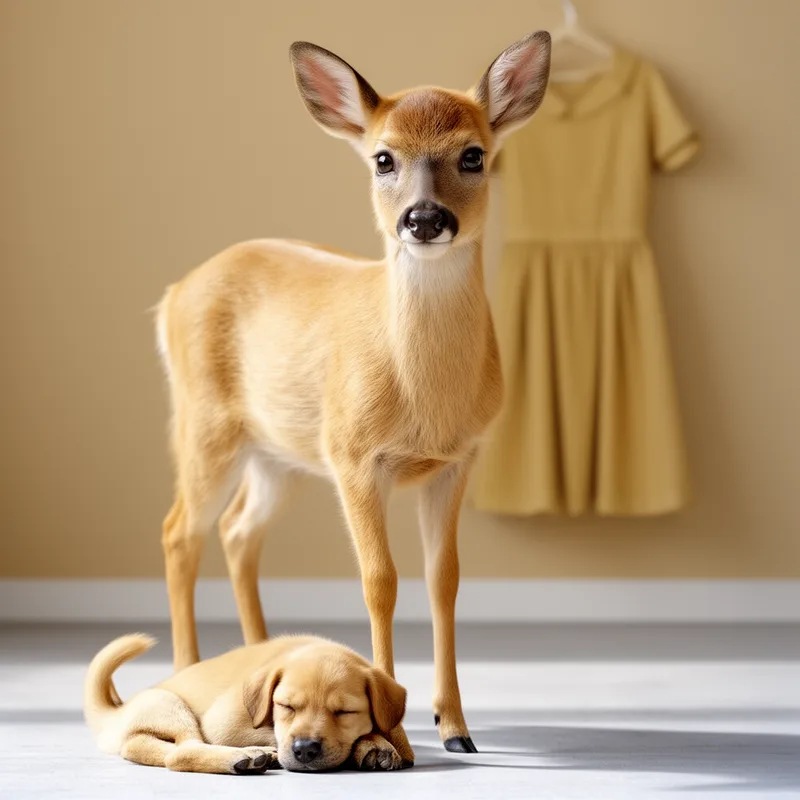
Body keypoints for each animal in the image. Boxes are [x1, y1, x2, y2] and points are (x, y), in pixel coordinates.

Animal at [156, 31, 551, 764]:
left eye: (474, 154)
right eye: (383, 157)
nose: (424, 219)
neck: (424, 396)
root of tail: (173, 295)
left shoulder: (458, 459)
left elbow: (444, 579)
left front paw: (455, 727)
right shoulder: (354, 455)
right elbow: (380, 580)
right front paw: (390, 735)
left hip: (279, 454)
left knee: (237, 531)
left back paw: (258, 661)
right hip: (205, 422)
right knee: (179, 531)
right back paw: (188, 670)